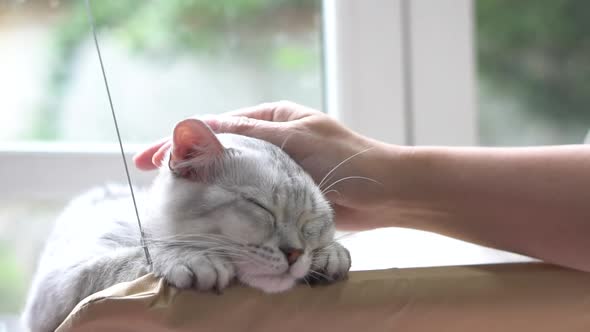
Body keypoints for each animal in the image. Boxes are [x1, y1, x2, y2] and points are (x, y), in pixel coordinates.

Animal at [22, 119, 352, 332]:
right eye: (260, 206)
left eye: (312, 221)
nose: (295, 253)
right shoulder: (55, 287)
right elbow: (138, 254)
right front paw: (191, 257)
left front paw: (330, 253)